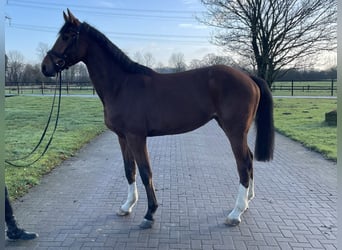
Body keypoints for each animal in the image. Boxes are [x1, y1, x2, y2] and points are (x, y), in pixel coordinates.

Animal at [40, 9, 276, 229]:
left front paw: (149, 214)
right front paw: (127, 206)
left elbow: (146, 172)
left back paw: (236, 213)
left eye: (67, 36)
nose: (45, 67)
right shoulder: (123, 137)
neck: (121, 85)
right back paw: (247, 202)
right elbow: (129, 170)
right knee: (250, 159)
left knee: (243, 163)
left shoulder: (137, 137)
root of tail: (248, 77)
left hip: (234, 131)